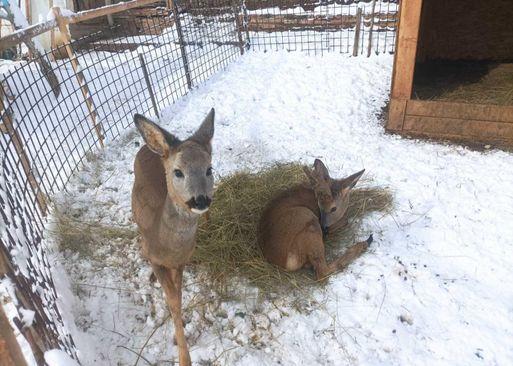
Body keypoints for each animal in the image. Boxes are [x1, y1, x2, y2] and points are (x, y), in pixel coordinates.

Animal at [132, 109, 214, 366]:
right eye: (178, 172)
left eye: (209, 169)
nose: (200, 200)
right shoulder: (156, 259)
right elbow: (172, 302)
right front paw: (183, 357)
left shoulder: (181, 262)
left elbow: (177, 298)